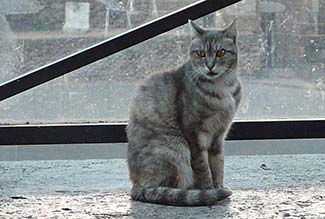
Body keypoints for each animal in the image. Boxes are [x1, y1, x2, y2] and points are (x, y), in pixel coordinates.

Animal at [126, 18, 240, 205]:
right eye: (200, 53)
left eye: (221, 52)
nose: (210, 66)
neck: (222, 87)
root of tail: (136, 186)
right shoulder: (193, 133)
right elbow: (203, 168)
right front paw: (210, 190)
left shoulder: (219, 135)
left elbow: (218, 164)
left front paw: (218, 186)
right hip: (175, 148)